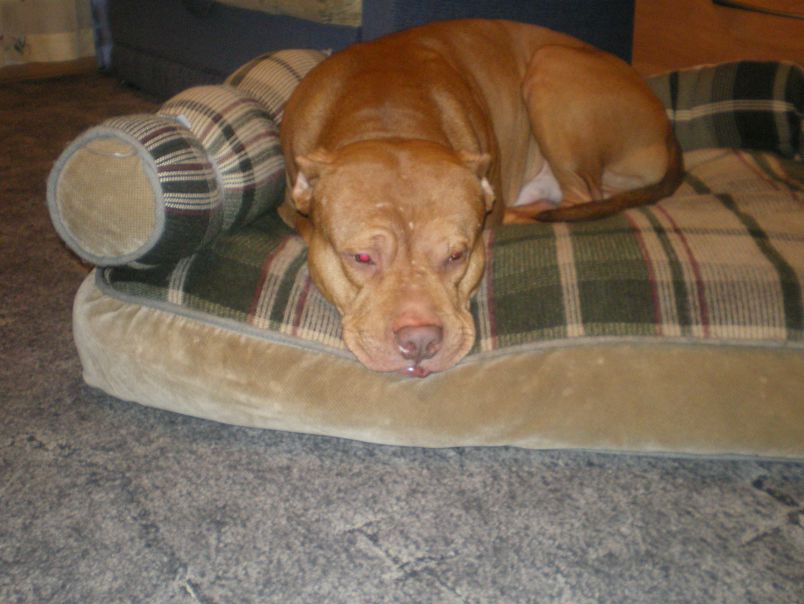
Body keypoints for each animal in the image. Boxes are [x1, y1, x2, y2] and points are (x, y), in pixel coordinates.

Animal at [279, 19, 683, 377]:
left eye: (457, 255)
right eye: (362, 257)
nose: (420, 341)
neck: (386, 114)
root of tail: (667, 128)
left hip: (551, 68)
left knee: (579, 196)